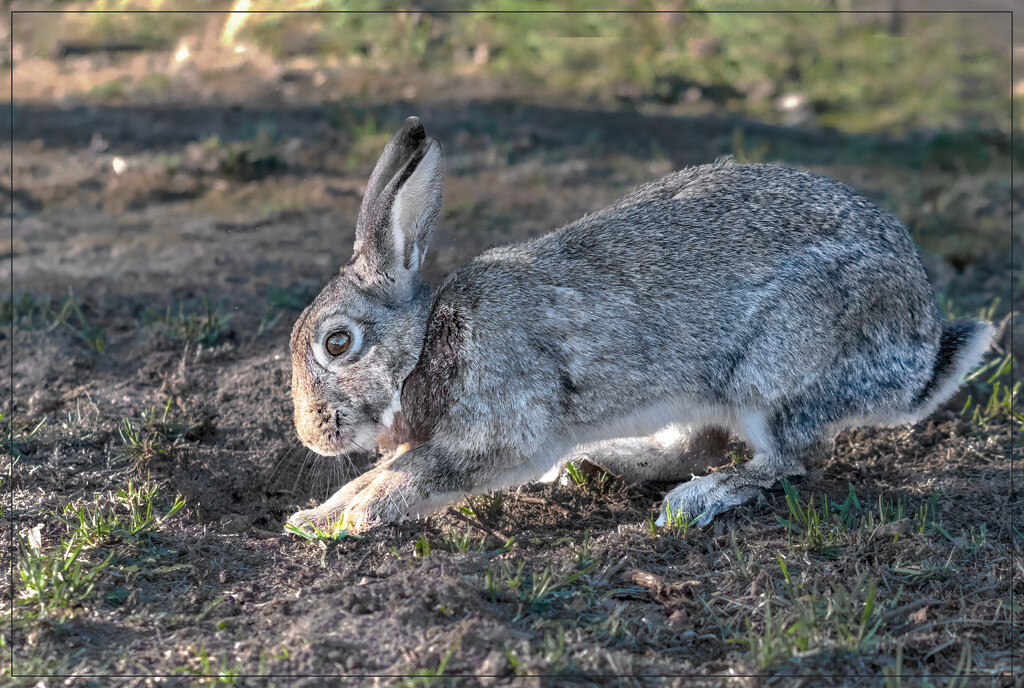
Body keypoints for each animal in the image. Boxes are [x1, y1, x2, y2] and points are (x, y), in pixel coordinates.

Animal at [286, 118, 991, 536]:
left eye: (338, 343)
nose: (312, 436)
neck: (427, 345)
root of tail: (919, 355)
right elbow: (394, 467)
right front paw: (317, 513)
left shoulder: (500, 435)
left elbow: (410, 476)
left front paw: (343, 519)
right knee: (698, 445)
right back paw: (606, 461)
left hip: (776, 375)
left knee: (787, 459)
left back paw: (697, 501)